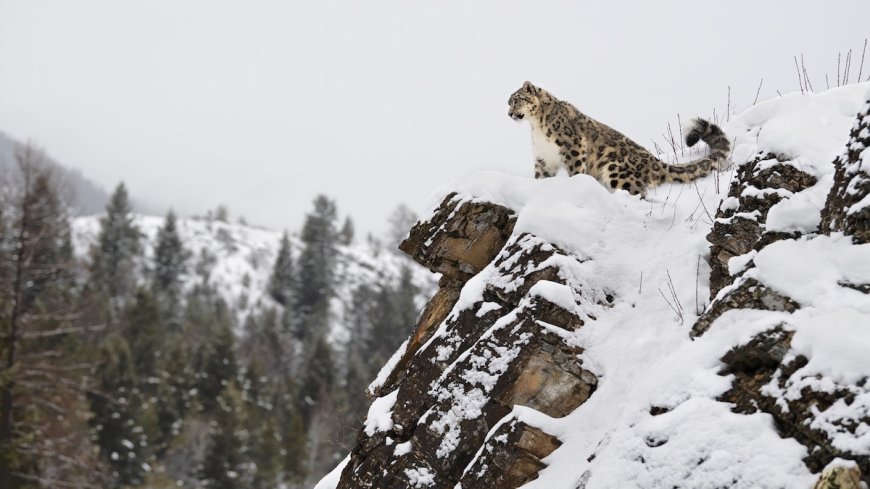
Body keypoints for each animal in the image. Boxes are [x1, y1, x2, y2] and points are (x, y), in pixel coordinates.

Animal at [508, 81, 730, 196]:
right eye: (508, 102)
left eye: (516, 100)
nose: (509, 114)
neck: (536, 125)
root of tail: (655, 162)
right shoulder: (543, 157)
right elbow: (541, 177)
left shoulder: (573, 148)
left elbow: (575, 170)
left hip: (616, 169)